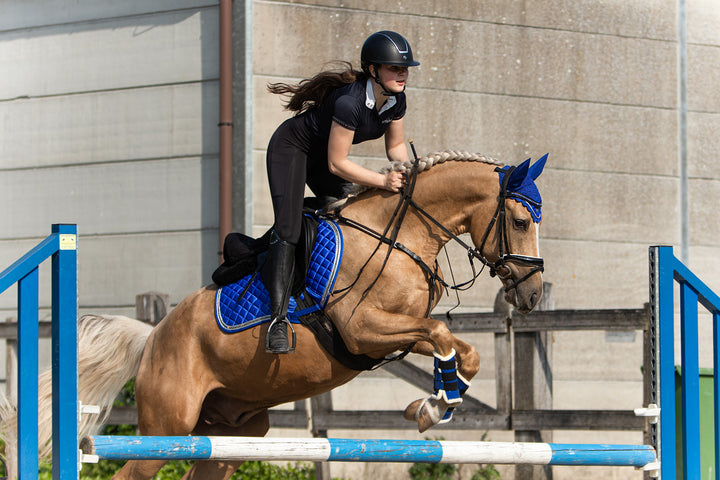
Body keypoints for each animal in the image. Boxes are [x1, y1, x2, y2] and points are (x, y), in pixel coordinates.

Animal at [8, 151, 548, 480]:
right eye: (521, 221)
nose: (533, 295)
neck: (402, 236)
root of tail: (154, 336)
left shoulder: (394, 333)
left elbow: (457, 348)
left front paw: (436, 403)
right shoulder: (362, 329)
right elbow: (440, 332)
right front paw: (433, 406)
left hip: (232, 434)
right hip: (167, 427)